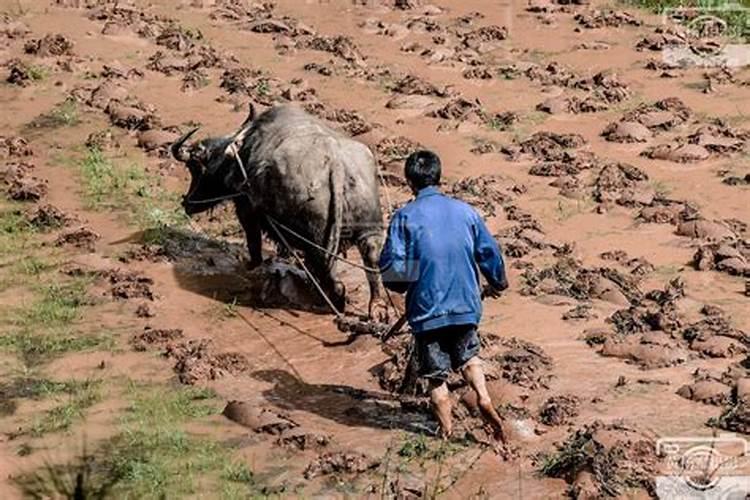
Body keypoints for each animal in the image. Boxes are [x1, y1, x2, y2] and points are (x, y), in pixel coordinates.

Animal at [170, 105, 382, 314]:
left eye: (194, 167)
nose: (187, 203)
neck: (239, 152)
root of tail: (337, 165)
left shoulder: (247, 210)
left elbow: (253, 242)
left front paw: (251, 264)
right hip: (369, 231)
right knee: (371, 260)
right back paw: (377, 307)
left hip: (319, 240)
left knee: (332, 279)